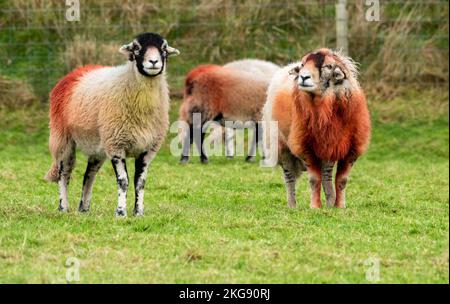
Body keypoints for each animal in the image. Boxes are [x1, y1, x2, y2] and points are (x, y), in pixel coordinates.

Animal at [45, 32, 179, 215]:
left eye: (164, 48)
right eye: (137, 48)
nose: (153, 62)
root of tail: (74, 73)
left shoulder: (147, 149)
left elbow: (140, 183)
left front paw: (138, 213)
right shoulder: (116, 146)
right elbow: (123, 181)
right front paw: (121, 212)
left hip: (98, 145)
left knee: (89, 175)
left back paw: (84, 209)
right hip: (62, 138)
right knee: (63, 173)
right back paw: (63, 207)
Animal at [262, 48, 370, 209]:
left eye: (329, 66)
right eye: (303, 64)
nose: (303, 77)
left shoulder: (352, 150)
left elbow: (342, 180)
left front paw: (340, 206)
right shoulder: (306, 146)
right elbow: (314, 179)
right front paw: (315, 207)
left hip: (327, 149)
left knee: (326, 175)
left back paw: (330, 202)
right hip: (281, 146)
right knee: (289, 177)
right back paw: (292, 205)